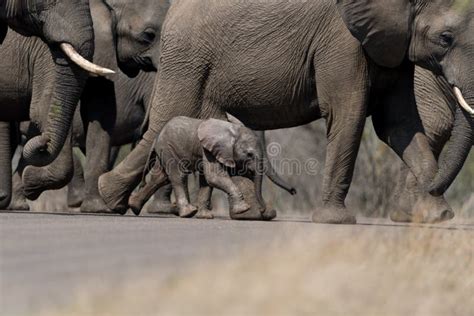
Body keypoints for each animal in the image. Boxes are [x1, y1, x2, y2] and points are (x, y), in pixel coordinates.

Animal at [128, 116, 294, 217]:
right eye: (249, 154)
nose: (293, 191)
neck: (232, 130)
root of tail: (157, 137)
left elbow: (207, 182)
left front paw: (206, 217)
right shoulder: (207, 150)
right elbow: (214, 177)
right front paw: (243, 209)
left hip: (166, 149)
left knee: (162, 177)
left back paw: (134, 206)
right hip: (168, 147)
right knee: (178, 175)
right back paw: (189, 212)